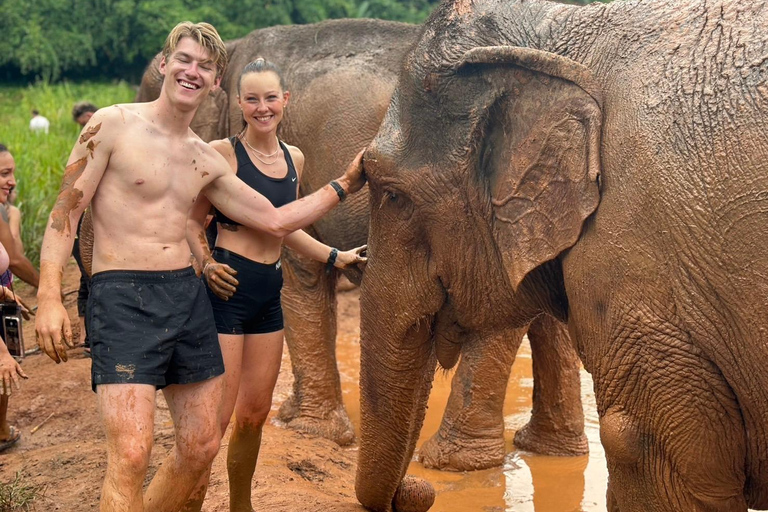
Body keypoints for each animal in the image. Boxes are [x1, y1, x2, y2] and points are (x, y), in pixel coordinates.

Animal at [134, 19, 588, 468]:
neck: (234, 49)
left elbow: (298, 275)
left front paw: (311, 432)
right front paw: (297, 420)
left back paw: (450, 462)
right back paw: (549, 451)